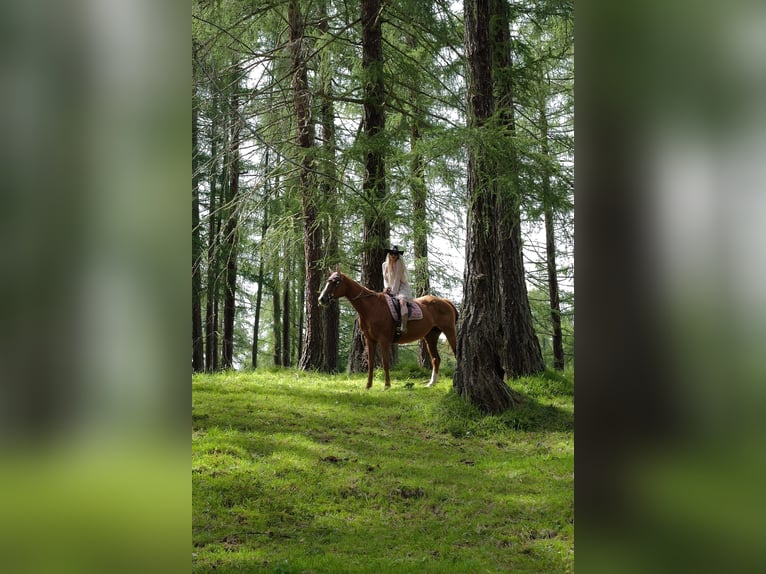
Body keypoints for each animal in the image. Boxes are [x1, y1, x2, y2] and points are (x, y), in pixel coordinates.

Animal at [316, 272, 460, 392]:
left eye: (335, 282)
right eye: (328, 280)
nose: (321, 299)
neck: (371, 307)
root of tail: (445, 301)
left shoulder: (384, 340)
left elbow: (385, 363)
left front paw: (387, 385)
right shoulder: (370, 340)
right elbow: (371, 363)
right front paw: (368, 385)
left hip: (449, 332)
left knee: (456, 353)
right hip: (430, 336)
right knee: (436, 359)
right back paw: (431, 383)